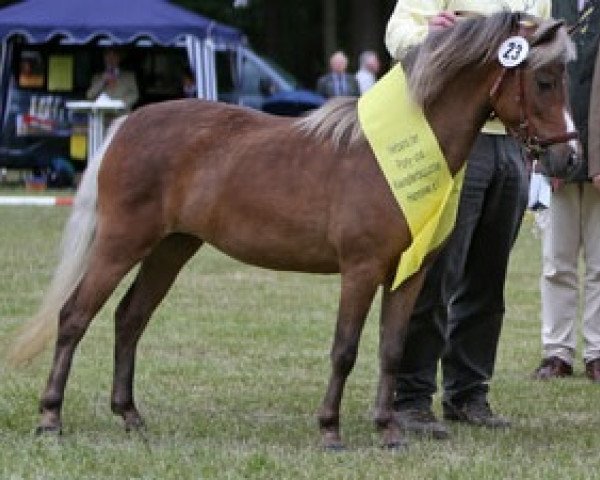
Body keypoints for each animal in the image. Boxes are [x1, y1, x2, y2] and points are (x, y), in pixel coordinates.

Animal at [9, 13, 580, 448]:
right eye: (544, 81)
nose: (569, 158)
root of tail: (126, 124)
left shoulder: (408, 276)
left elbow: (391, 349)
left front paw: (389, 430)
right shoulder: (360, 270)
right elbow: (345, 349)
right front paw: (330, 430)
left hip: (171, 248)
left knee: (130, 318)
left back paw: (129, 415)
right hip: (121, 243)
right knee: (74, 317)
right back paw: (50, 418)